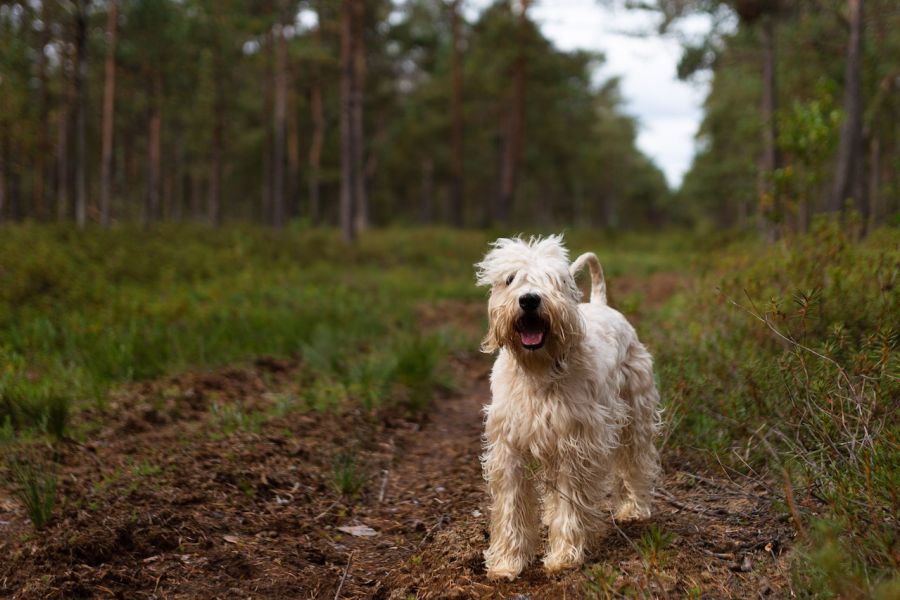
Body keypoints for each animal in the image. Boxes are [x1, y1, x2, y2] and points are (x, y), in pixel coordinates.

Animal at [478, 236, 660, 580]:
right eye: (510, 279)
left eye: (555, 280)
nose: (529, 300)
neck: (540, 370)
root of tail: (601, 304)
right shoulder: (509, 448)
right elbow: (510, 507)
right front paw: (507, 562)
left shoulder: (575, 445)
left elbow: (570, 504)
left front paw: (564, 556)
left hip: (635, 414)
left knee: (635, 461)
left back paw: (634, 508)